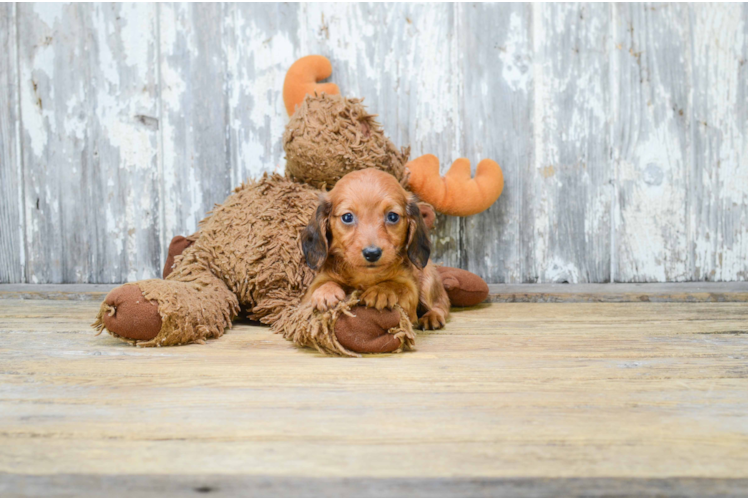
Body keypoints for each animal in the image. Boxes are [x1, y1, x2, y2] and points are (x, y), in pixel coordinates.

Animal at [300, 170, 450, 330]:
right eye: (347, 217)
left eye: (392, 216)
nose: (372, 254)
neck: (366, 276)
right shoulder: (310, 293)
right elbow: (321, 284)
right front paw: (326, 291)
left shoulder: (410, 290)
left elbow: (398, 286)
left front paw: (381, 291)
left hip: (427, 280)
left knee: (442, 304)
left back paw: (432, 316)